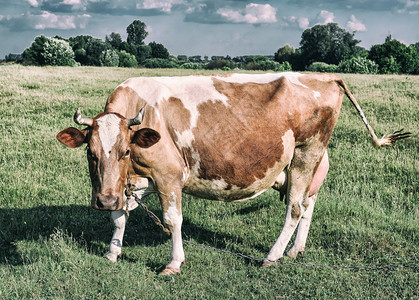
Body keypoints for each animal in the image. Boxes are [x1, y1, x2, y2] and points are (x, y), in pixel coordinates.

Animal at [55, 72, 410, 274]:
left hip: (306, 153)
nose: (102, 200)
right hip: (311, 162)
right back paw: (295, 251)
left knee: (295, 208)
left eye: (126, 151)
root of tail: (325, 77)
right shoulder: (130, 181)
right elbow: (120, 216)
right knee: (309, 203)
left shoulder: (168, 174)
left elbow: (173, 220)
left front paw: (173, 263)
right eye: (90, 153)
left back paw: (272, 256)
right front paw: (112, 252)